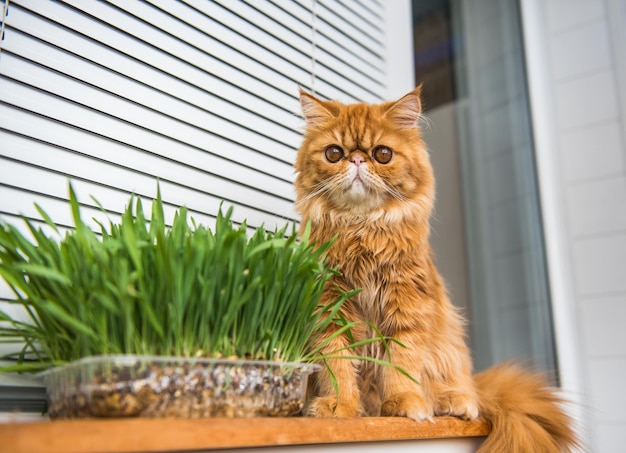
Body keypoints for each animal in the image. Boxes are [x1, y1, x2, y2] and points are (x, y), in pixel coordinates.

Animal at [294, 86, 576, 450]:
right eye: (333, 153)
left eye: (382, 154)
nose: (356, 160)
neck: (361, 229)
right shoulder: (331, 306)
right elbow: (338, 364)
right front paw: (341, 407)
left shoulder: (408, 306)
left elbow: (401, 363)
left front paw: (403, 405)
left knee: (458, 389)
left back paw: (452, 402)